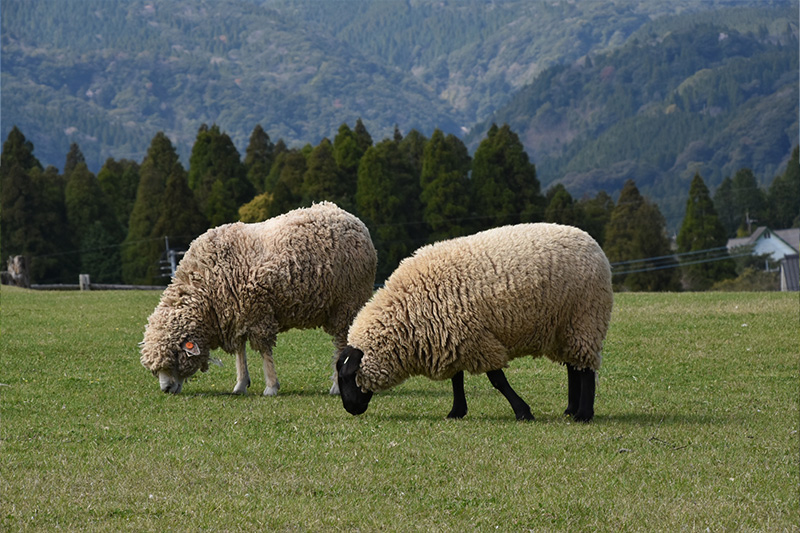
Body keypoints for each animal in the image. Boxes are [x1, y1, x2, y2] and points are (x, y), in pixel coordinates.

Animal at [141, 203, 378, 394]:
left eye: (174, 357)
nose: (166, 389)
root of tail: (354, 220)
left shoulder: (258, 311)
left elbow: (264, 351)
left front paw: (271, 387)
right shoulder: (236, 314)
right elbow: (240, 351)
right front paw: (240, 384)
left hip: (347, 301)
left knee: (341, 343)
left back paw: (337, 386)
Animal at [336, 222, 612, 422]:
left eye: (348, 376)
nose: (350, 408)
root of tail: (592, 242)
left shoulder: (476, 338)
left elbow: (497, 380)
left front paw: (523, 412)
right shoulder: (452, 337)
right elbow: (456, 379)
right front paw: (456, 411)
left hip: (585, 317)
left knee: (585, 368)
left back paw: (583, 414)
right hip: (565, 327)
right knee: (574, 367)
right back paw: (570, 409)